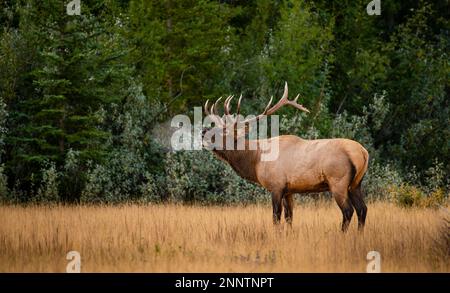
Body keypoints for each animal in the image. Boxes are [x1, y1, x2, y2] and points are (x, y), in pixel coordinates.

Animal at [202, 81, 368, 230]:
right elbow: (289, 217)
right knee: (362, 209)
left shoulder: (276, 185)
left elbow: (276, 217)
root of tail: (362, 153)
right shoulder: (289, 190)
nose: (203, 132)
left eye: (223, 133)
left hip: (338, 181)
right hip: (355, 184)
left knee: (348, 211)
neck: (256, 160)